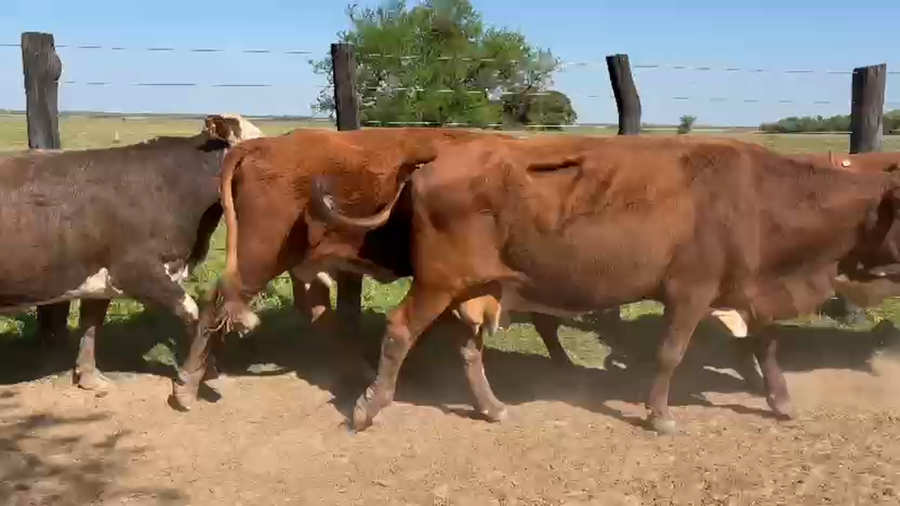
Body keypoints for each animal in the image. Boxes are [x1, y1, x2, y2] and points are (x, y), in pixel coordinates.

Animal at [0, 113, 262, 390]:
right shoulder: (135, 270)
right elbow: (192, 313)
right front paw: (204, 370)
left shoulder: (99, 276)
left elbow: (91, 324)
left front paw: (90, 378)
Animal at [309, 134, 900, 434]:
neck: (757, 197)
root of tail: (437, 156)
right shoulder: (690, 290)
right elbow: (670, 354)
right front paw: (660, 415)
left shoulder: (747, 290)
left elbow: (767, 347)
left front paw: (780, 401)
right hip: (438, 281)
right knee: (399, 331)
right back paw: (368, 407)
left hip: (473, 288)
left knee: (468, 349)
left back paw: (492, 407)